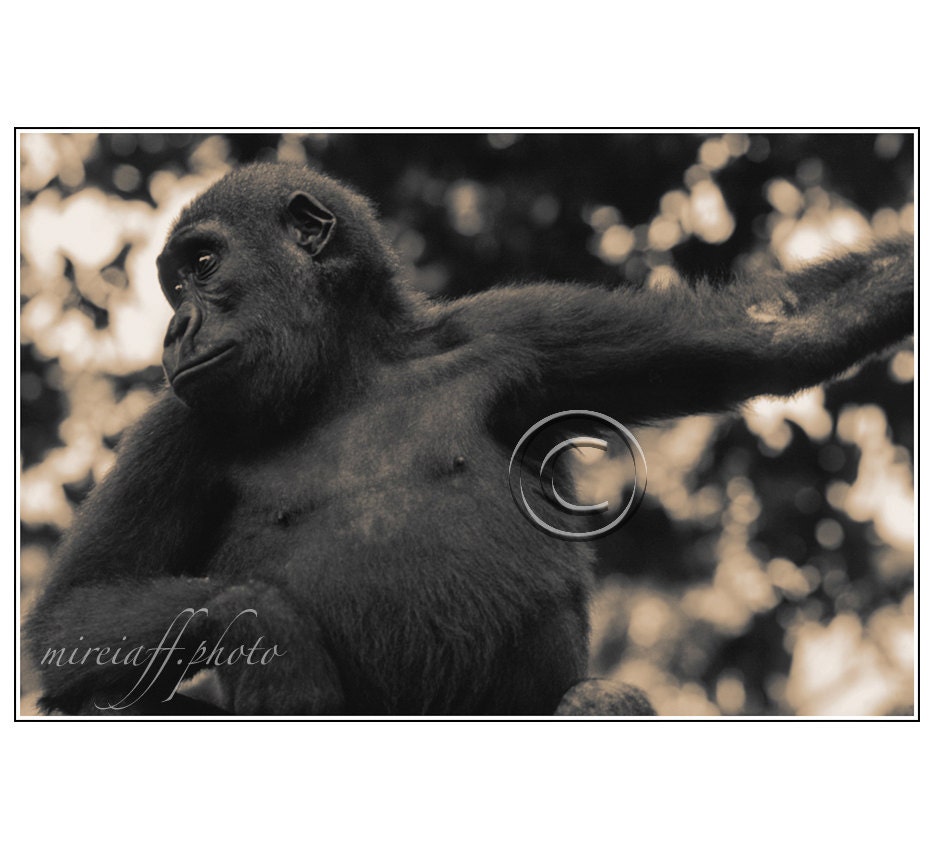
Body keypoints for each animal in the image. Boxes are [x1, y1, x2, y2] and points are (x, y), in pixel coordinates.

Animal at [25, 163, 914, 716]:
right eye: (175, 282)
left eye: (204, 265)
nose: (176, 327)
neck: (344, 372)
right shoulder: (176, 429)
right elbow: (71, 616)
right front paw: (266, 629)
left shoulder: (522, 332)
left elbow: (771, 333)